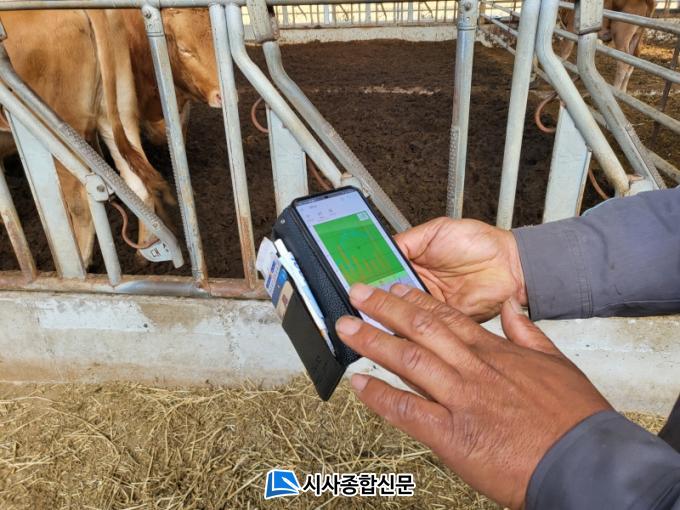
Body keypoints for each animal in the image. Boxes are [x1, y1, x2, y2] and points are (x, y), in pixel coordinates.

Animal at [0, 10, 175, 266]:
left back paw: (80, 264)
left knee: (81, 200)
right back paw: (144, 253)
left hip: (59, 127)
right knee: (136, 183)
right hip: (119, 112)